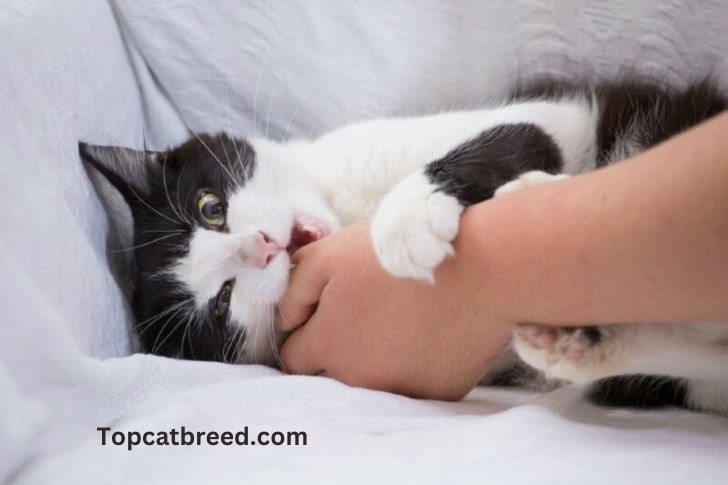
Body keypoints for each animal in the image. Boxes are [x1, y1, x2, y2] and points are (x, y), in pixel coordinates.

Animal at [81, 77, 728, 414]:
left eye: (210, 208)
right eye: (220, 305)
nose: (261, 246)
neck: (347, 211)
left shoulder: (556, 115)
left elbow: (521, 130)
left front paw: (408, 215)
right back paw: (573, 342)